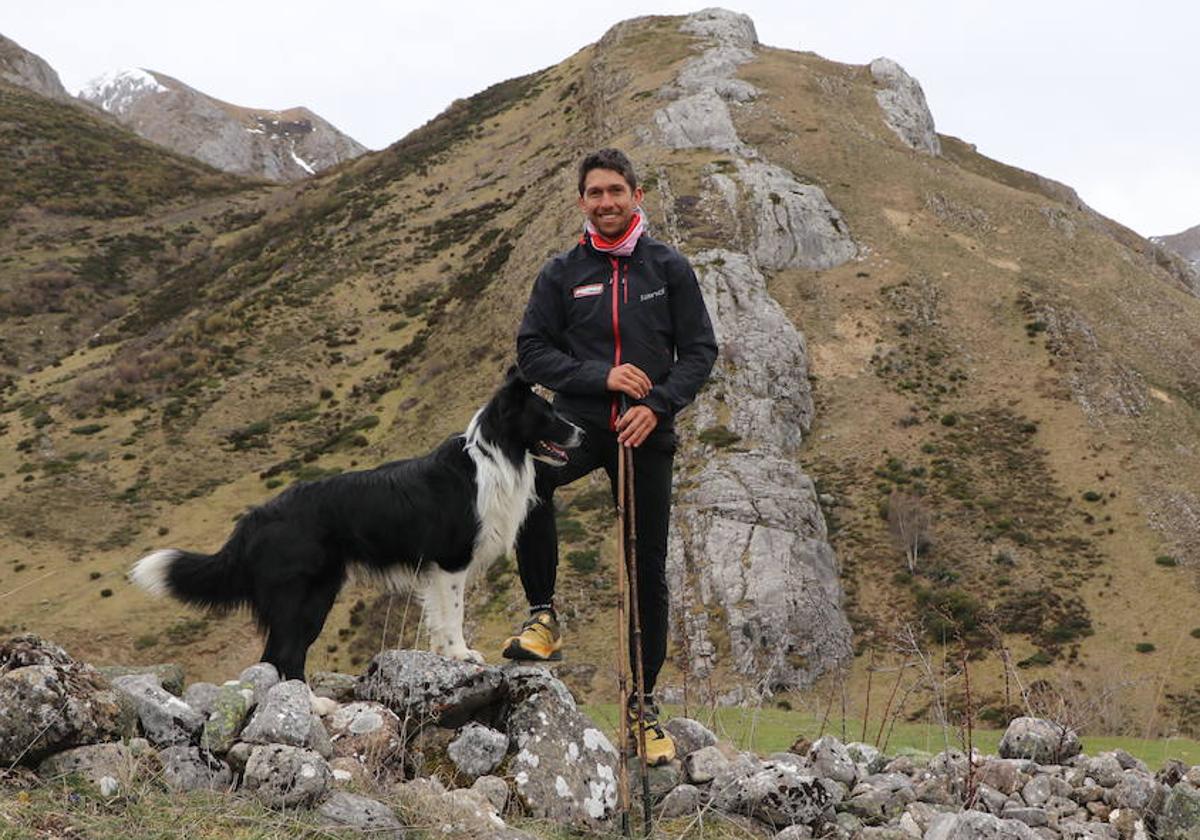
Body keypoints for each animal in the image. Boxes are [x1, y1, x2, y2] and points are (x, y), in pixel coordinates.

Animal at [131, 364, 580, 681]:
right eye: (546, 413)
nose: (580, 431)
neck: (493, 455)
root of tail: (255, 519)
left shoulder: (434, 570)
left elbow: (437, 617)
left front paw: (442, 656)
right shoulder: (451, 562)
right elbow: (453, 615)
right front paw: (461, 653)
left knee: (279, 657)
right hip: (301, 598)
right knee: (284, 654)